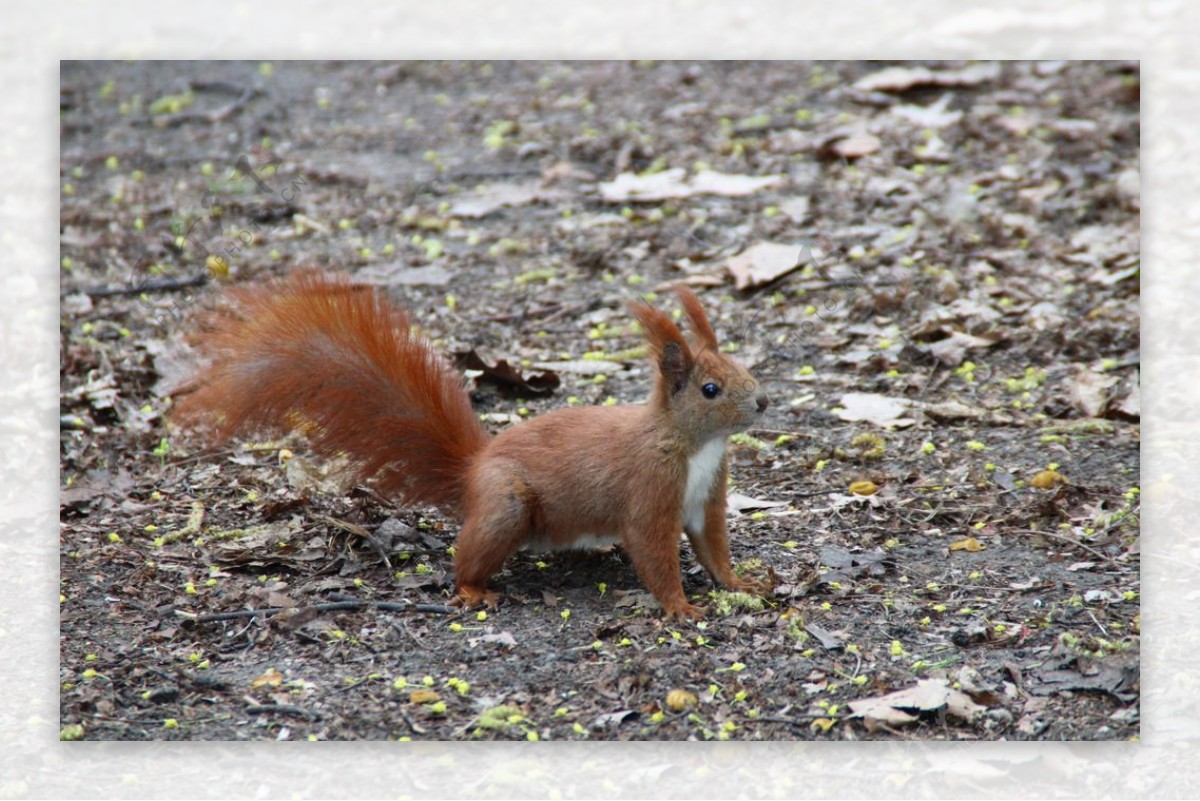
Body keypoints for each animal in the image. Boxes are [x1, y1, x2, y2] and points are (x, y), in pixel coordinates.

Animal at [175, 270, 777, 618]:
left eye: (741, 365)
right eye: (710, 389)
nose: (764, 402)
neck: (695, 446)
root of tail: (472, 471)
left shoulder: (706, 497)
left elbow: (713, 547)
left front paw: (741, 582)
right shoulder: (650, 489)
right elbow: (653, 550)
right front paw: (681, 608)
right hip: (506, 504)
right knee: (465, 560)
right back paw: (472, 591)